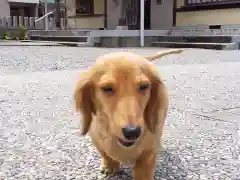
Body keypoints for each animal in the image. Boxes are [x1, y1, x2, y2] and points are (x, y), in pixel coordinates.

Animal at [74, 48, 183, 179]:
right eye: (107, 88)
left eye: (144, 86)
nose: (132, 132)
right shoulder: (97, 140)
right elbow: (105, 154)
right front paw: (109, 166)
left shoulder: (149, 151)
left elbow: (144, 166)